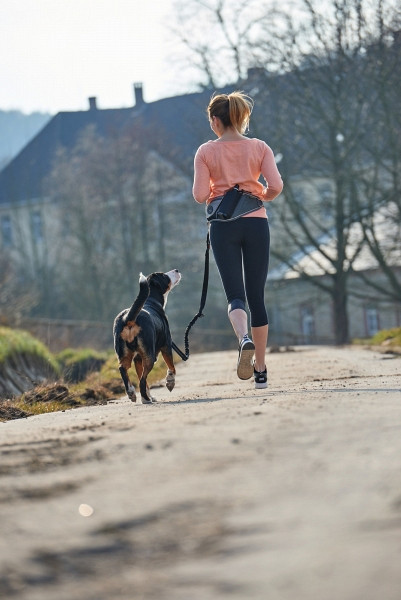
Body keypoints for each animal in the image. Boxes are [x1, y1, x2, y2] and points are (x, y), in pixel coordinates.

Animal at [112, 270, 181, 404]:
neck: (151, 300)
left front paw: (149, 395)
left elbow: (141, 377)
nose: (176, 270)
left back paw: (133, 393)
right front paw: (170, 381)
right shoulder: (166, 345)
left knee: (123, 369)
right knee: (143, 379)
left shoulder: (137, 358)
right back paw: (145, 399)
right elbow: (172, 366)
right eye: (164, 275)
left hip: (125, 354)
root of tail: (128, 318)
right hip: (150, 356)